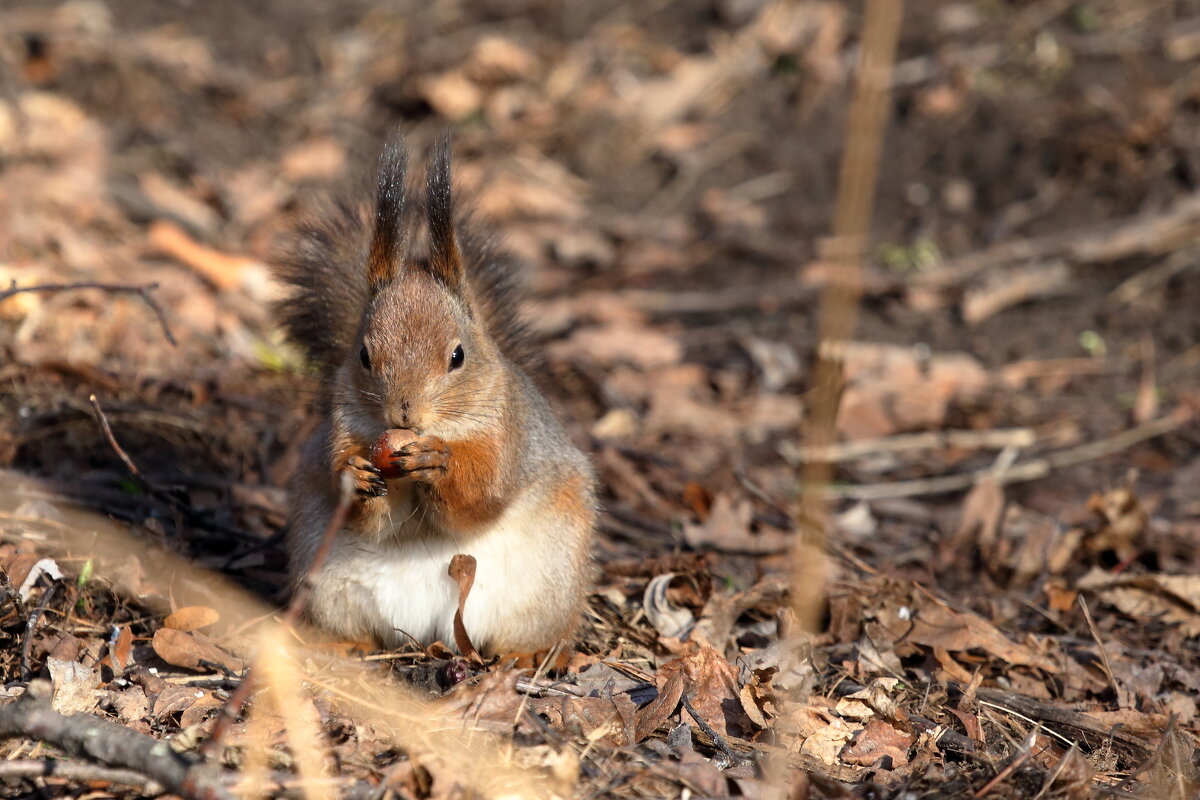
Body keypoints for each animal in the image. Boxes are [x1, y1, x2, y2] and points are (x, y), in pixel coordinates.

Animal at [268, 131, 595, 652]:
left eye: (458, 356)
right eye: (364, 354)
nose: (404, 414)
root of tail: (425, 633)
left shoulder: (506, 437)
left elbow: (481, 496)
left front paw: (439, 464)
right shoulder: (344, 429)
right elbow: (371, 515)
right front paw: (356, 475)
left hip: (551, 582)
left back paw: (526, 657)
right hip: (326, 582)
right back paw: (345, 648)